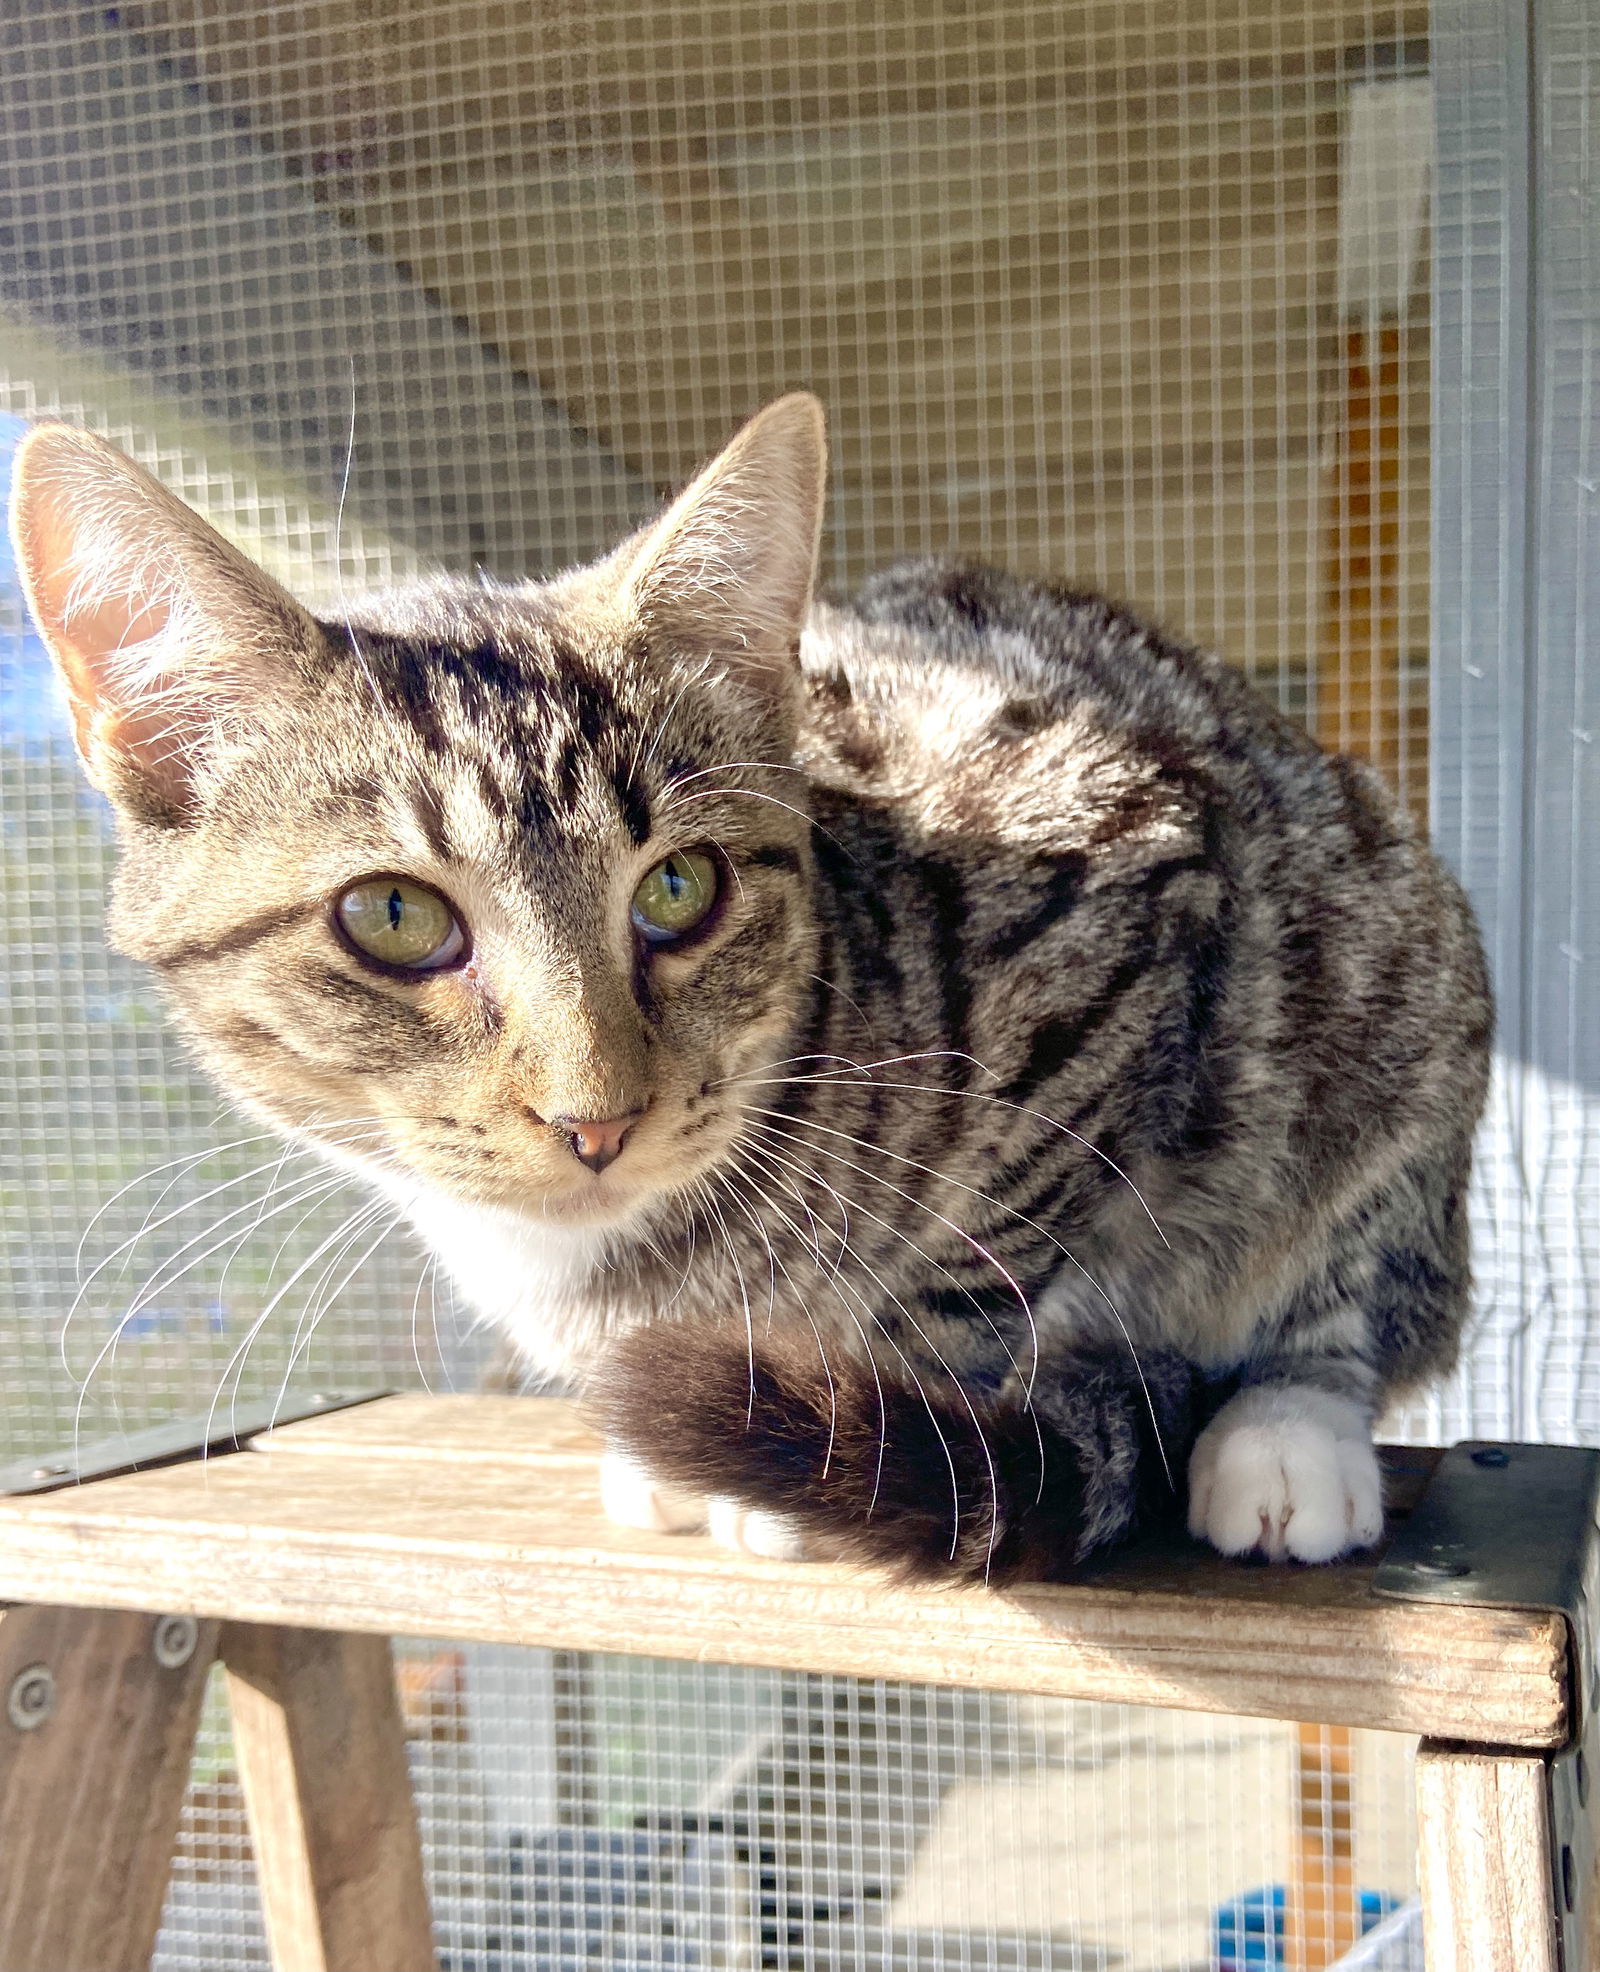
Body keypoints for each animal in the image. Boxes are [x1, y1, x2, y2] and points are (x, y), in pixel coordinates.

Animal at [9, 400, 1491, 1585]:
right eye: (394, 916)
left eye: (680, 887)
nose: (596, 1118)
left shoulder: (1112, 926)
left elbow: (973, 1267)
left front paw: (848, 1435)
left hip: (1383, 970)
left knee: (1346, 1259)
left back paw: (1285, 1428)